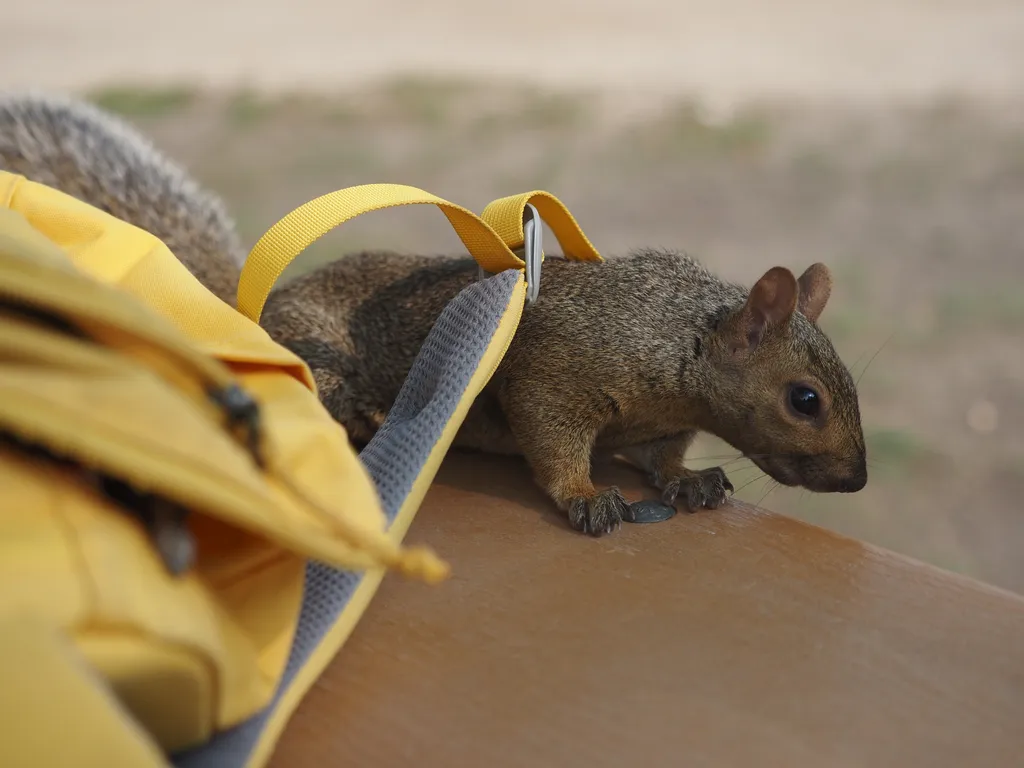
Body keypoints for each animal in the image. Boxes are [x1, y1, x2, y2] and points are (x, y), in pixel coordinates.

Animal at [0, 92, 868, 539]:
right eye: (805, 399)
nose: (857, 481)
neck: (673, 340)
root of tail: (243, 318)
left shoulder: (664, 418)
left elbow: (664, 455)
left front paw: (688, 481)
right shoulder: (556, 371)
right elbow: (551, 441)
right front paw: (587, 495)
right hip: (318, 356)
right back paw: (369, 412)